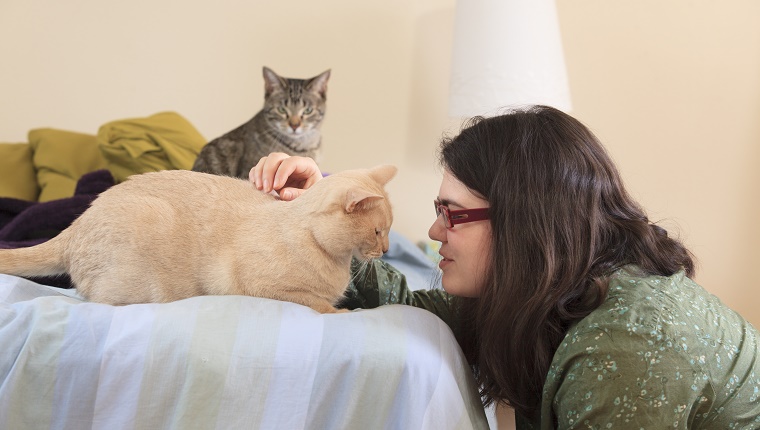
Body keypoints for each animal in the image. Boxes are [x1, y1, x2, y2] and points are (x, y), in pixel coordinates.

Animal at [1, 165, 398, 312]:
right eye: (378, 231)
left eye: (389, 231)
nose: (387, 249)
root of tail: (77, 224)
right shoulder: (269, 289)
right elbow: (321, 306)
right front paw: (344, 311)